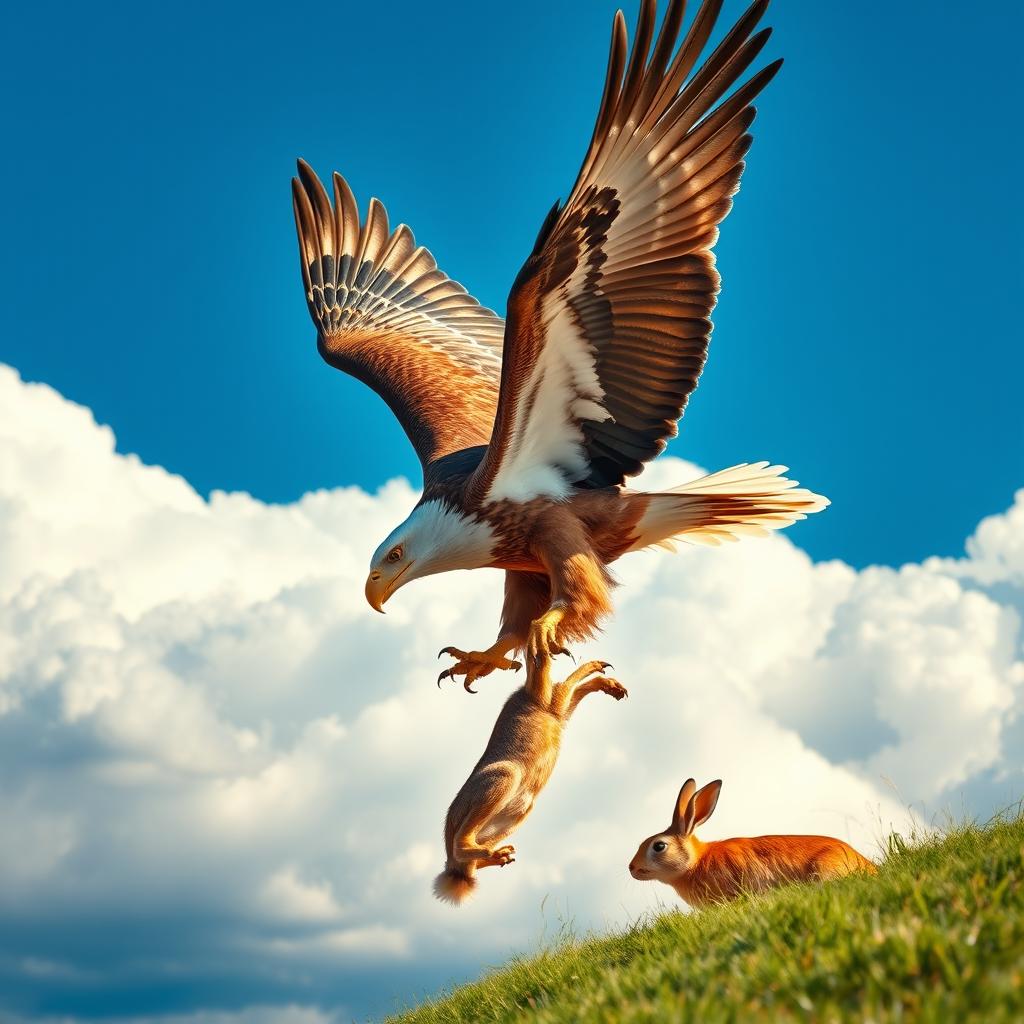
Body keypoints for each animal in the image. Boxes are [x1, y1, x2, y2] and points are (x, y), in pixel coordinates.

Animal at [434, 655, 627, 904]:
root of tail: (451, 869)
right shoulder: (555, 702)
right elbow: (569, 682)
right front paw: (598, 669)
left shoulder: (561, 710)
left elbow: (575, 689)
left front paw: (611, 685)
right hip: (507, 775)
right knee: (461, 844)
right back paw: (491, 853)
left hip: (523, 808)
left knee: (471, 862)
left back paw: (500, 856)